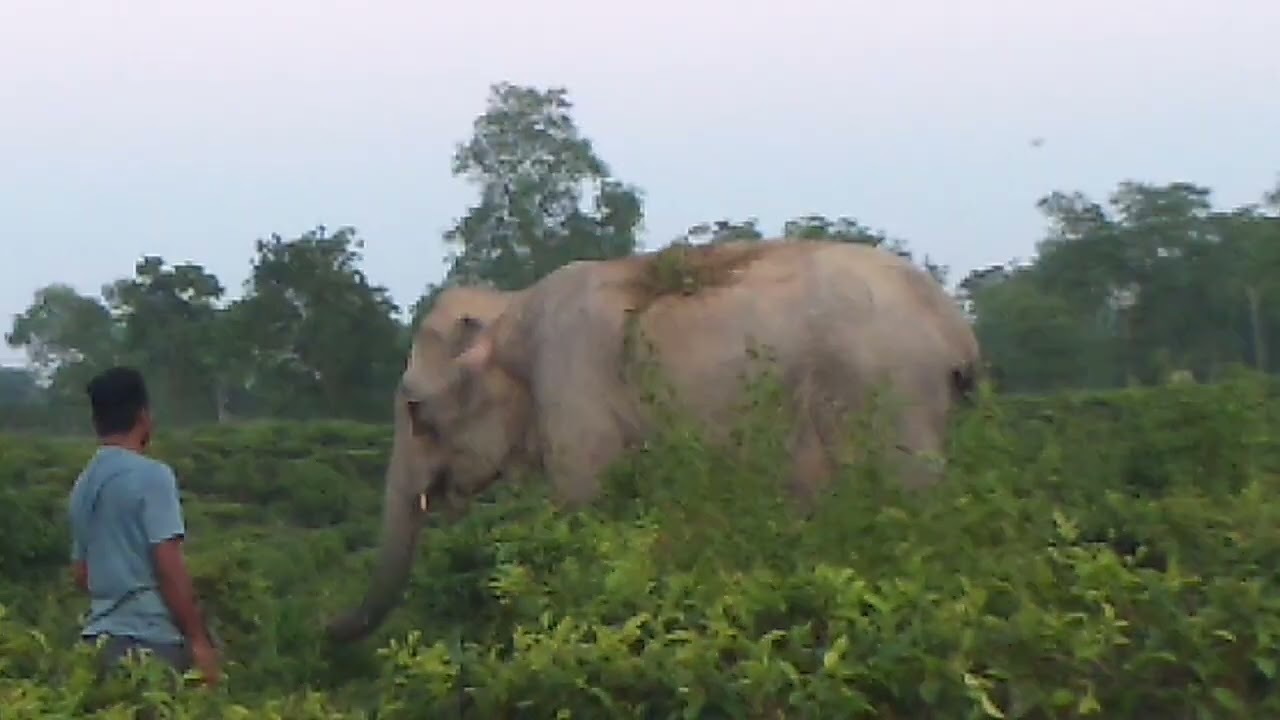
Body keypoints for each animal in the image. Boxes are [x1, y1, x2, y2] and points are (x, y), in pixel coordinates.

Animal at [325, 239, 982, 642]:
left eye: (416, 410)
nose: (323, 627)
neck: (513, 305)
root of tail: (957, 329)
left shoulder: (575, 389)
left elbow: (584, 509)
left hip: (890, 398)